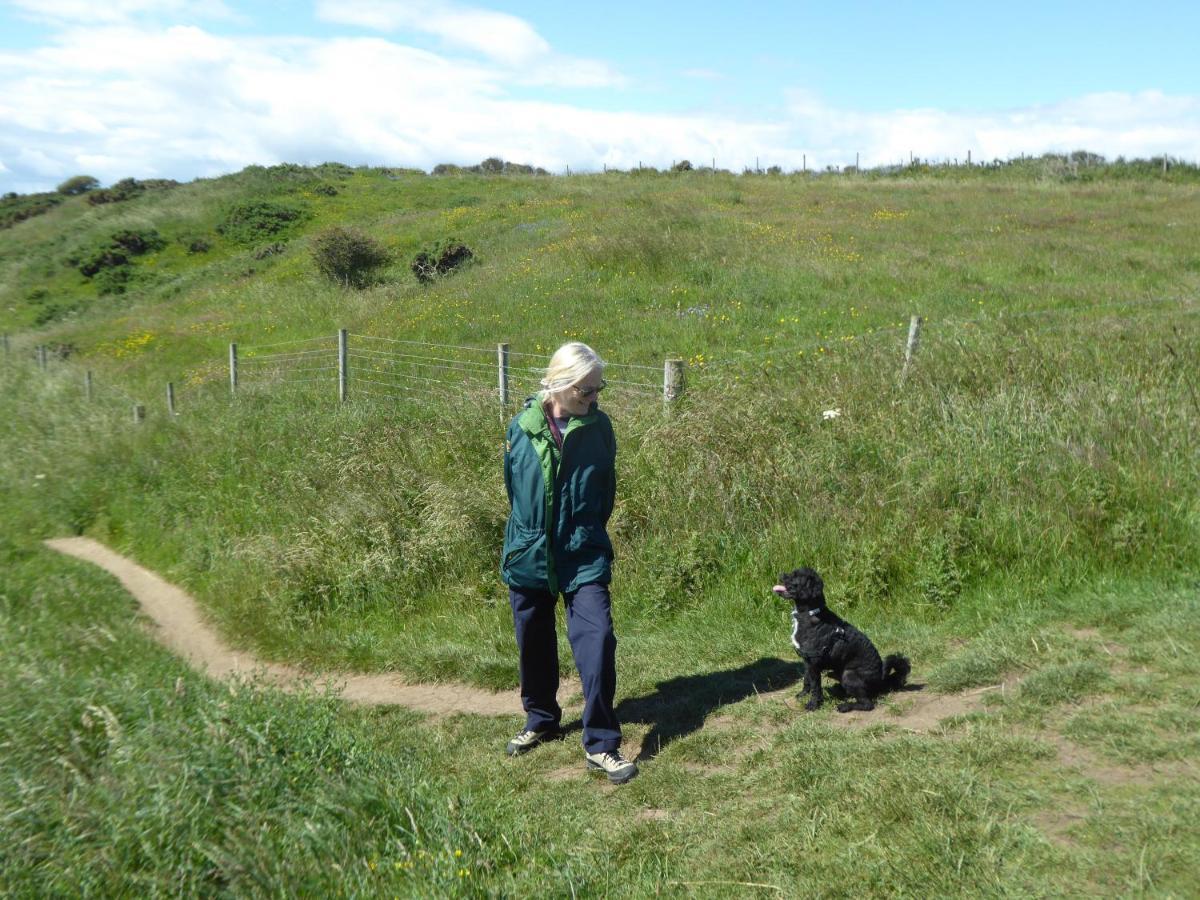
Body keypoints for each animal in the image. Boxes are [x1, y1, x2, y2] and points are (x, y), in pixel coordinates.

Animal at [777, 571, 907, 710]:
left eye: (795, 576)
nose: (781, 574)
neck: (810, 613)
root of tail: (881, 679)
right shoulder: (807, 661)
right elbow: (807, 680)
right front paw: (803, 694)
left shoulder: (814, 663)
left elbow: (816, 687)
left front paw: (813, 704)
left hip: (848, 675)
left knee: (867, 704)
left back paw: (845, 706)